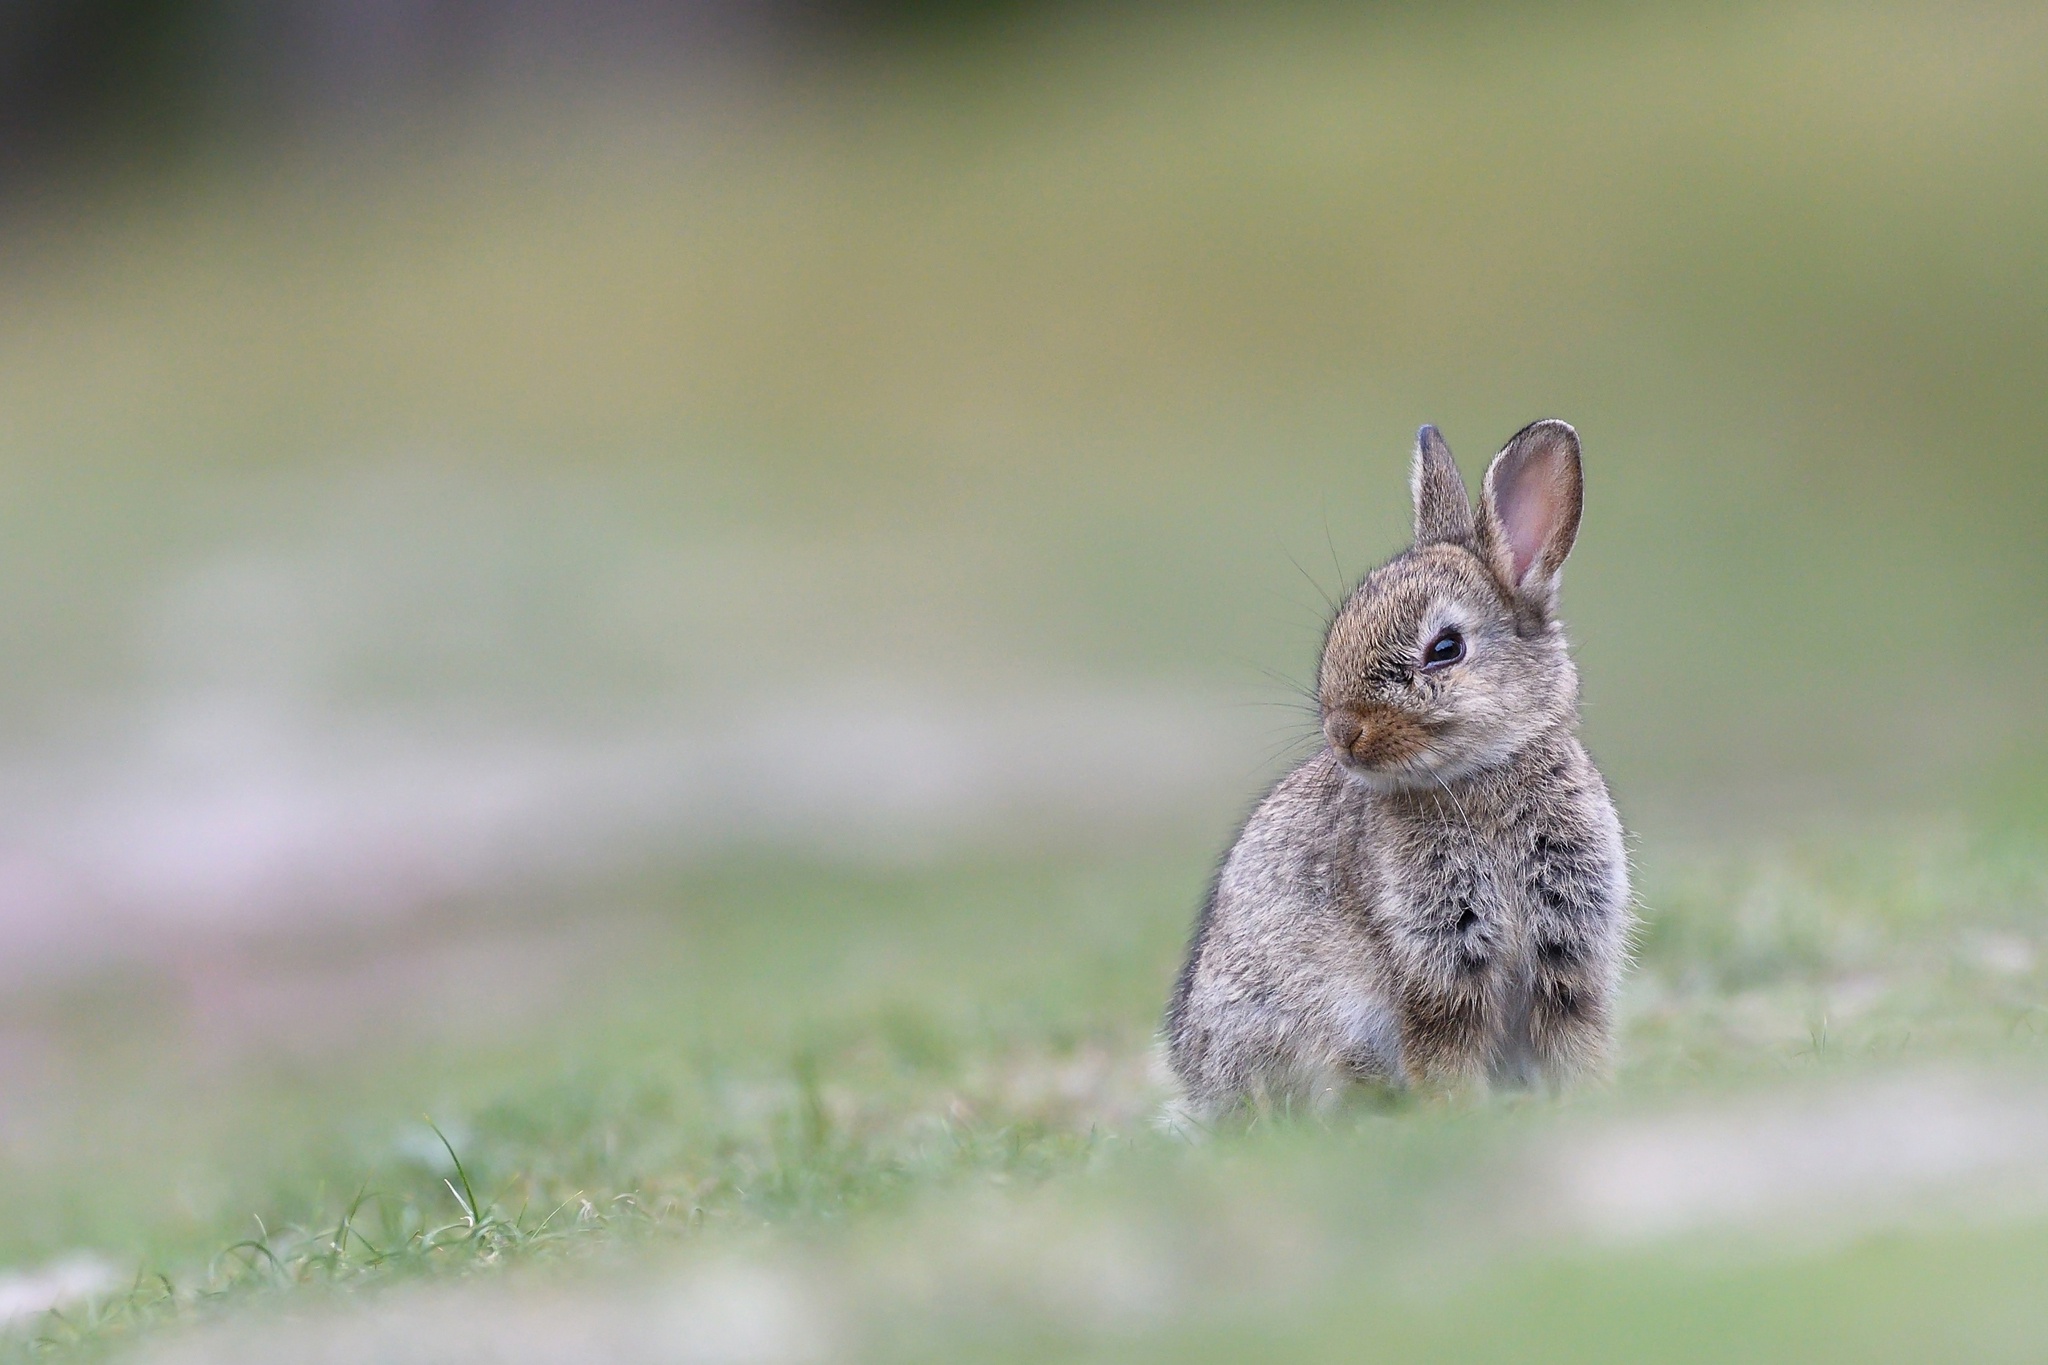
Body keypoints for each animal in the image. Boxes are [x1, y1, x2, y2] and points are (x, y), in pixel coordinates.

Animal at [1171, 419, 1630, 1121]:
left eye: (1446, 649)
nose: (1344, 732)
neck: (1482, 778)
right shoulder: (1437, 963)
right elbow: (1445, 1049)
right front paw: (1456, 1114)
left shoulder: (1568, 952)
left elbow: (1574, 1037)